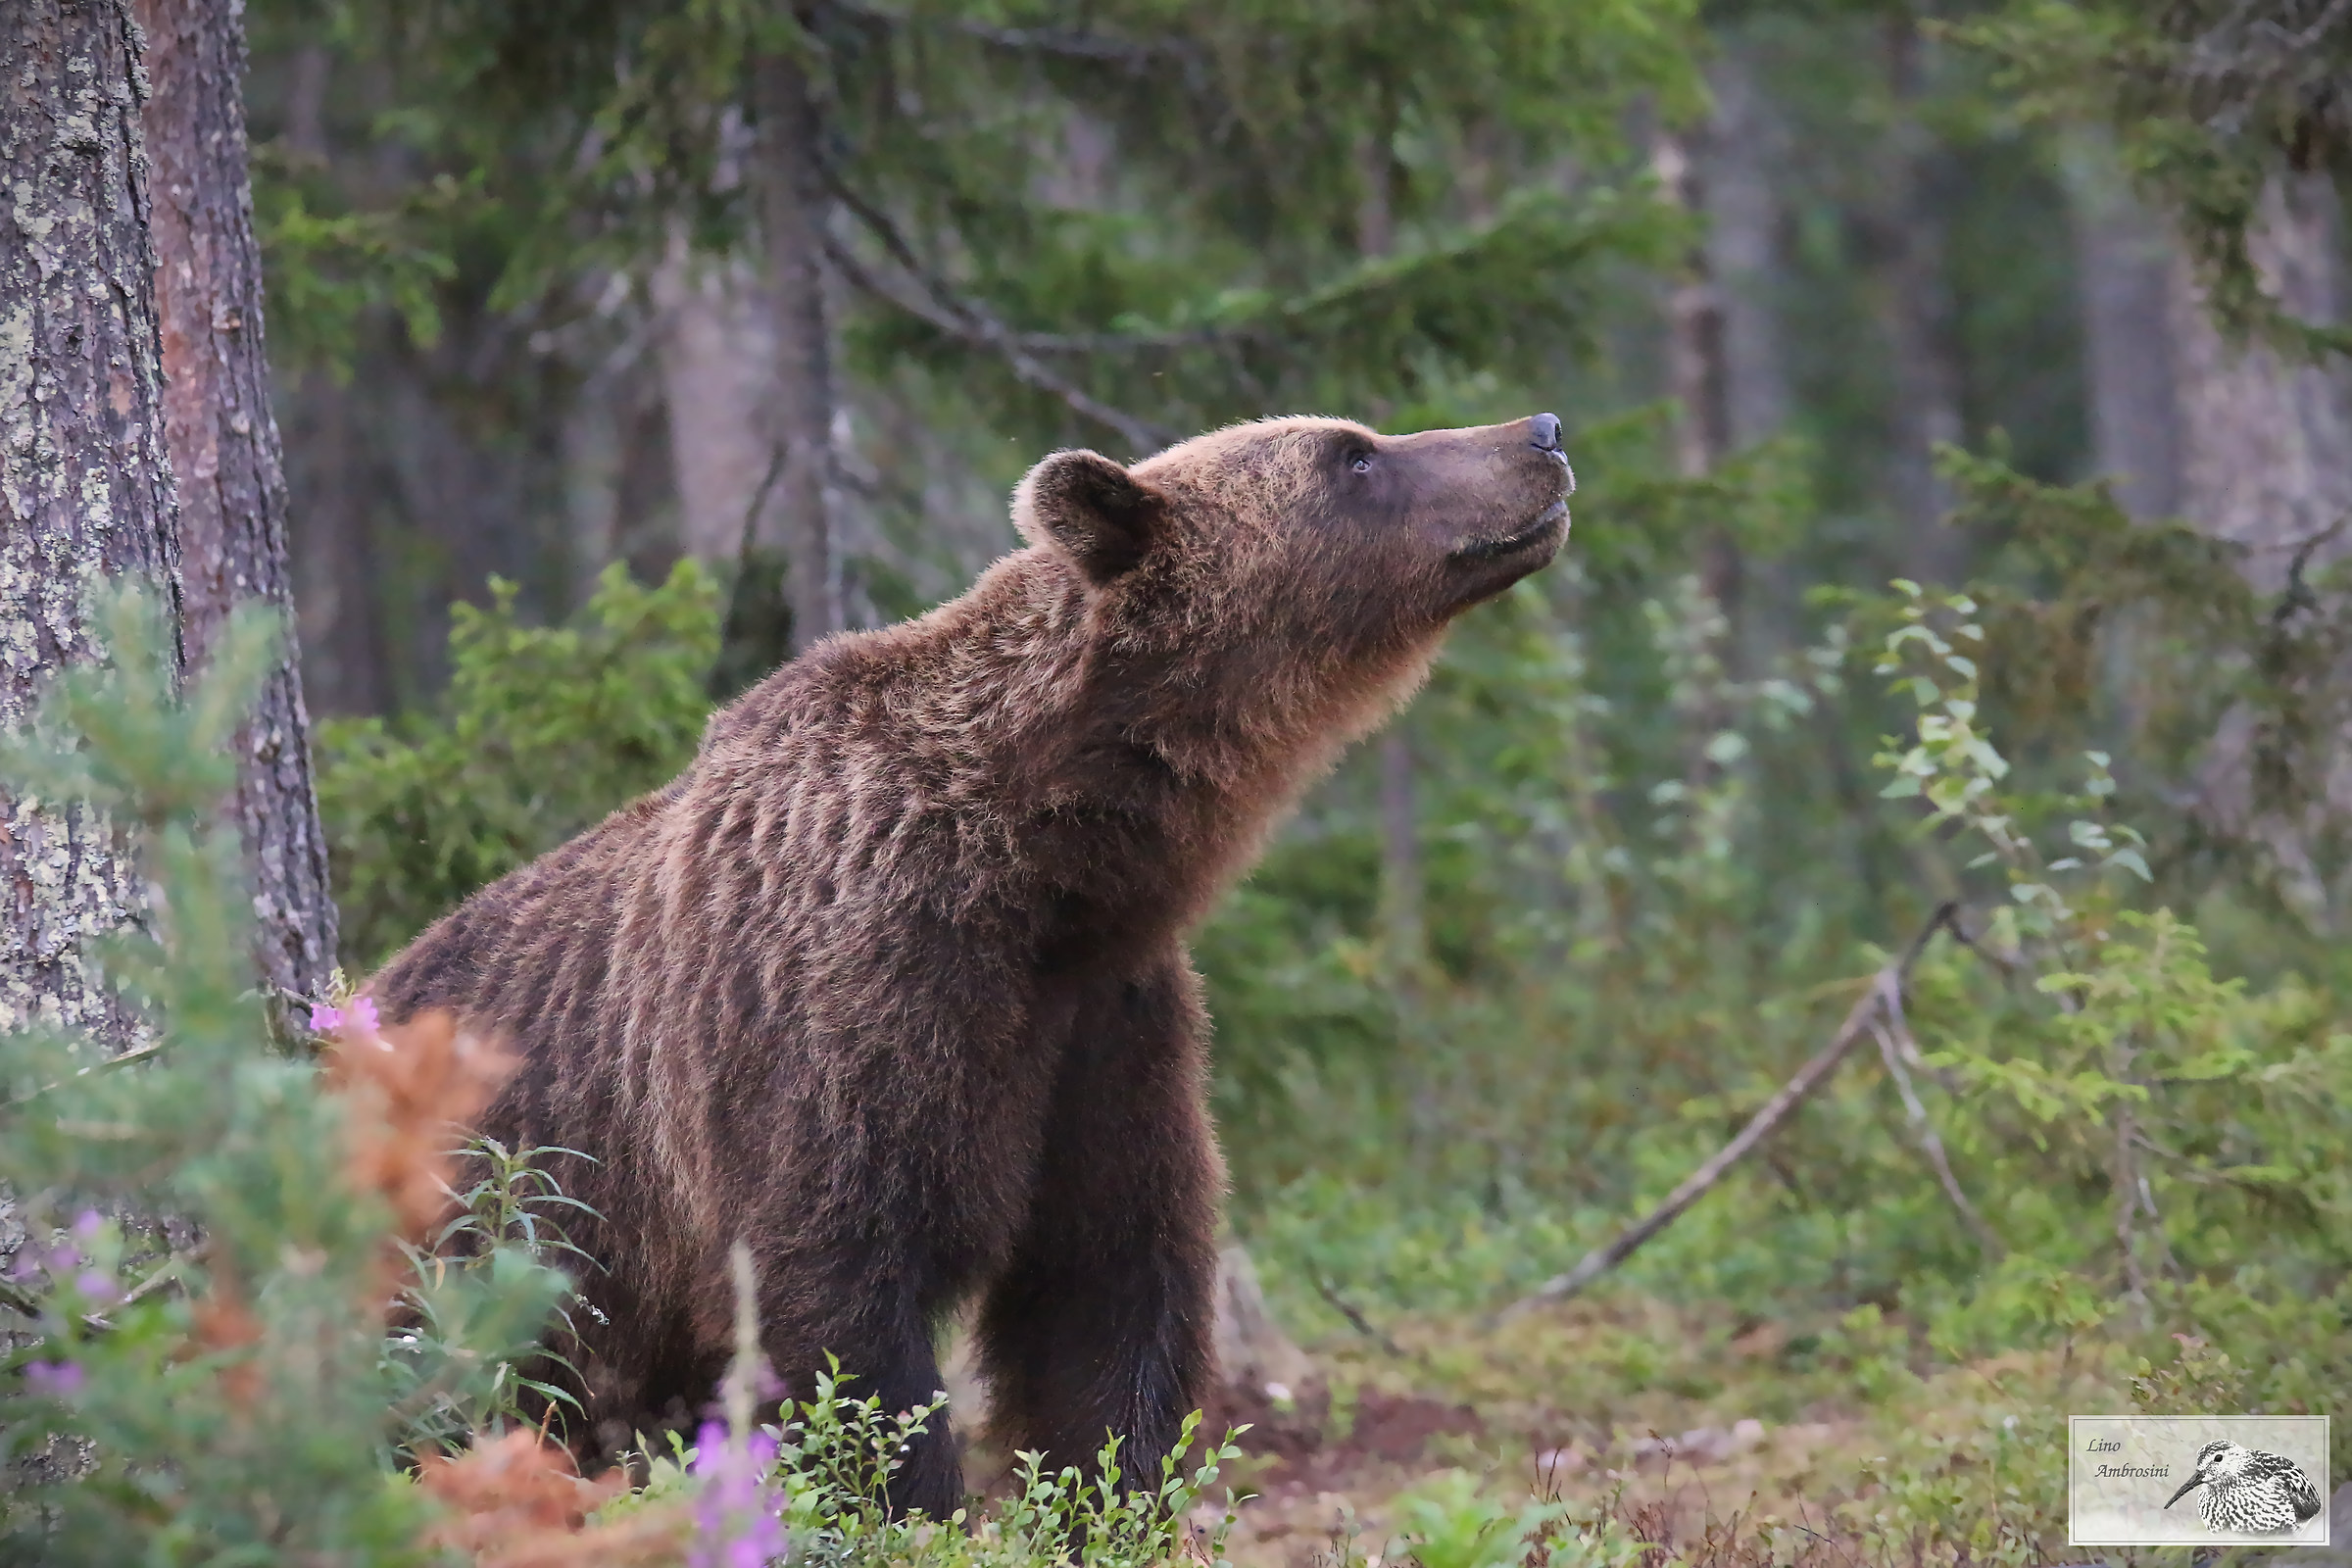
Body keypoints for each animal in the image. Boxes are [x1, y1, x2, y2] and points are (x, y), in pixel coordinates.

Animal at [371, 412, 1573, 1516]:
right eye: (1353, 455)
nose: (1543, 432)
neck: (1046, 862)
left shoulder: (1104, 1023)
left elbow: (1109, 1289)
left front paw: (1114, 1496)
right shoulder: (847, 1000)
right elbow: (838, 1302)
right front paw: (915, 1503)